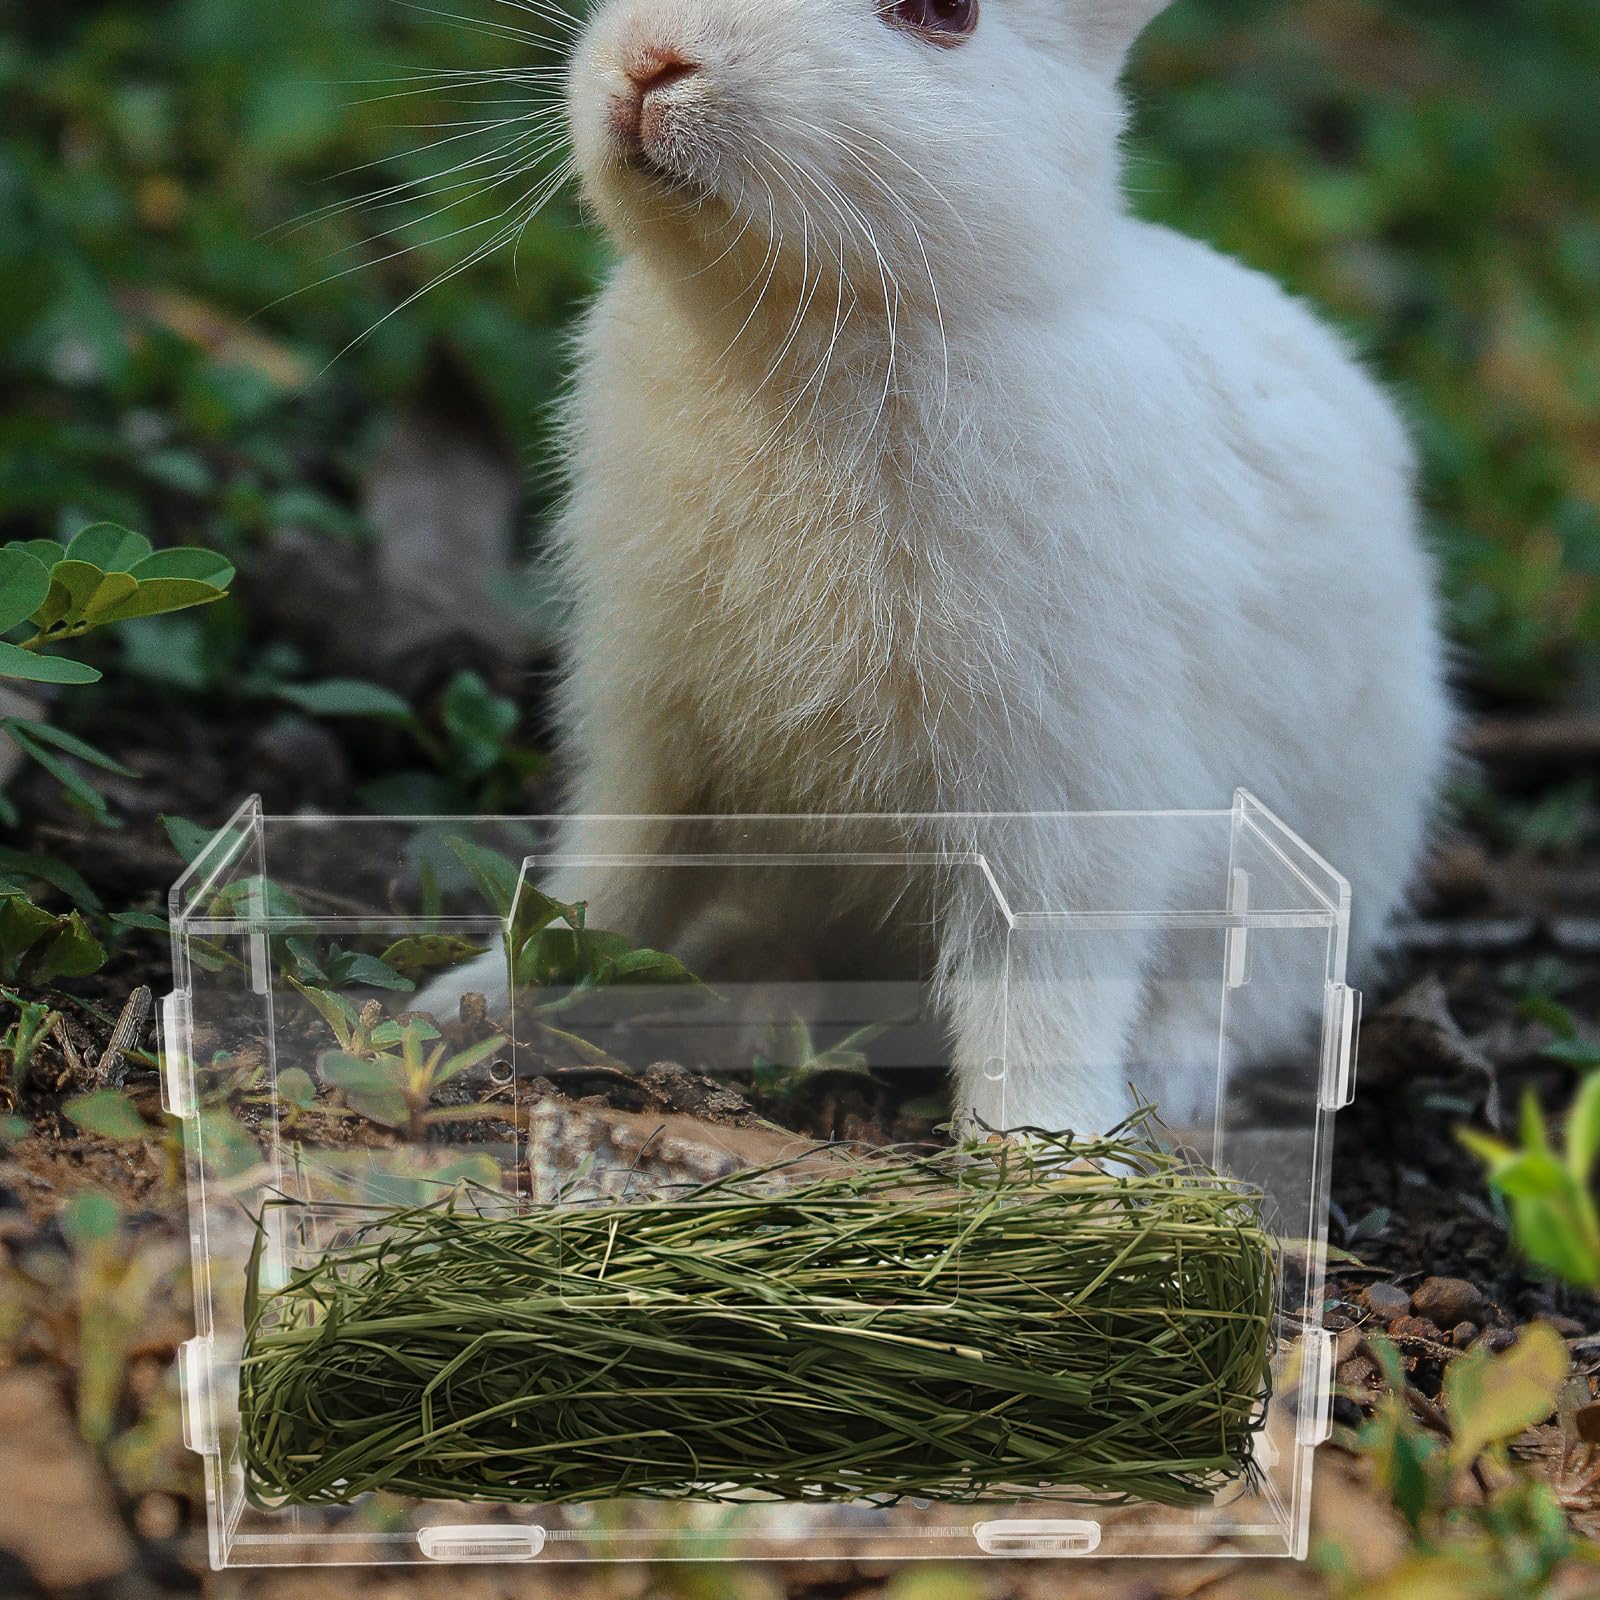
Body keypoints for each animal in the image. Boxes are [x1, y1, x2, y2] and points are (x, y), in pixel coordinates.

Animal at [422, 0, 1454, 1135]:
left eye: (940, 15)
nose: (653, 58)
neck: (807, 316)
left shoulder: (1067, 785)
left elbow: (1041, 978)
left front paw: (1048, 1152)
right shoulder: (658, 739)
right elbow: (610, 880)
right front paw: (468, 999)